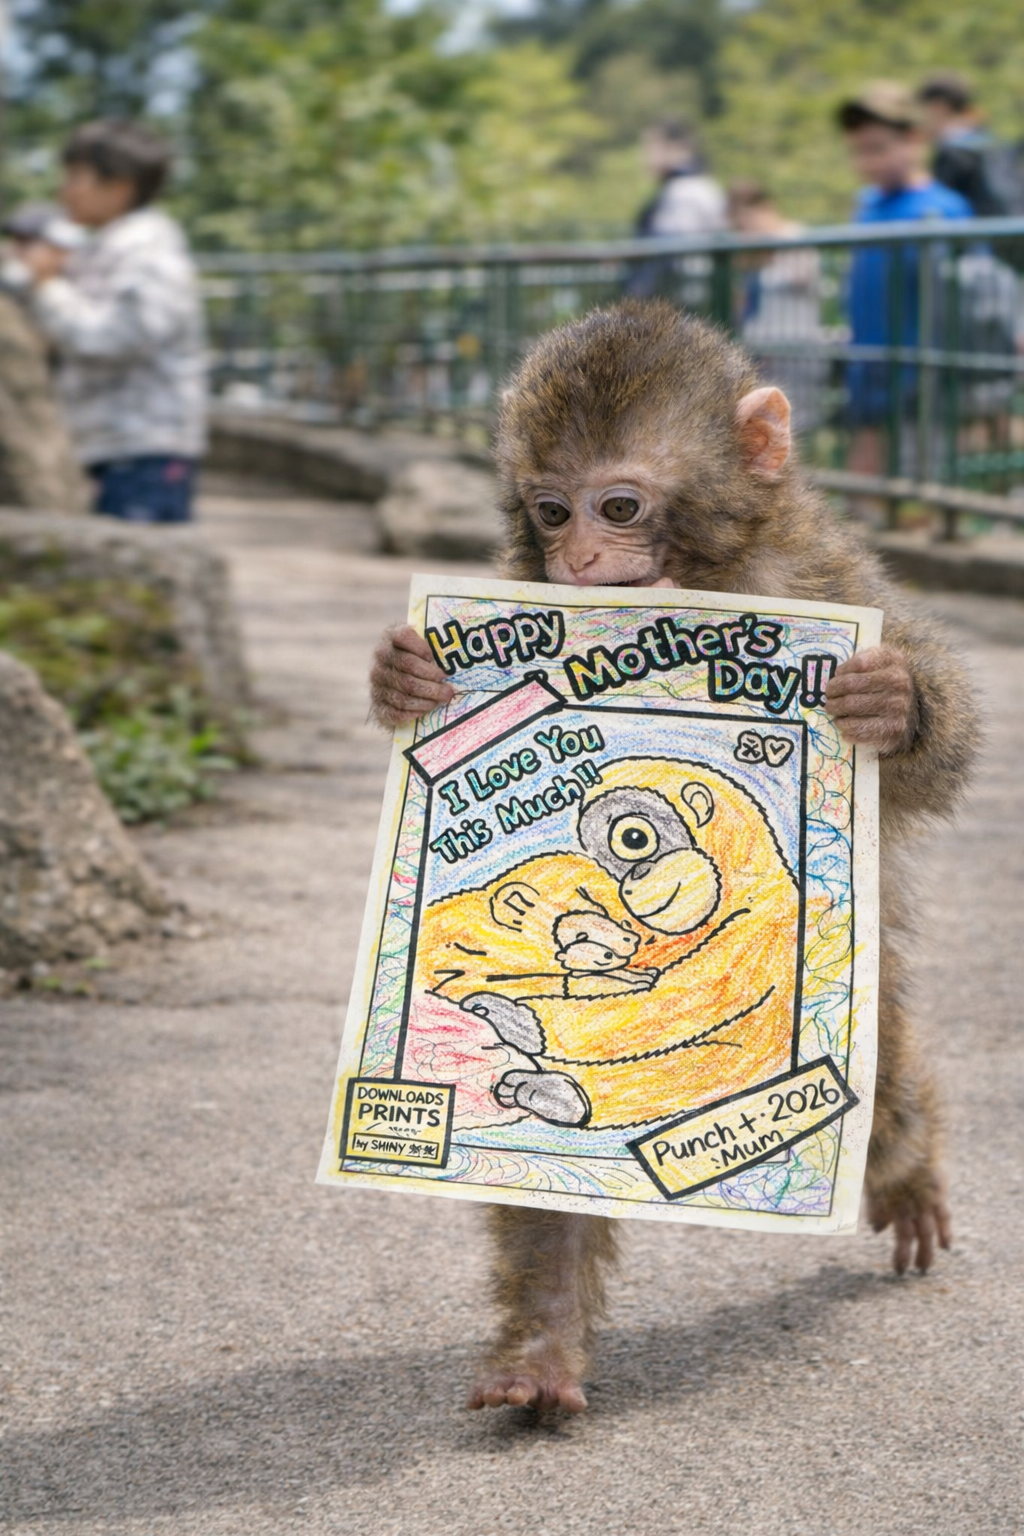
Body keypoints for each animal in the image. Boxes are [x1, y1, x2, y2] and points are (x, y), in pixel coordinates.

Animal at [368, 301, 978, 1414]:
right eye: (550, 512)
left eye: (619, 505)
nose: (578, 563)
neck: (705, 580)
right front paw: (403, 677)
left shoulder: (826, 577)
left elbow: (936, 761)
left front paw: (890, 703)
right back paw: (544, 1333)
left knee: (884, 1082)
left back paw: (905, 1171)